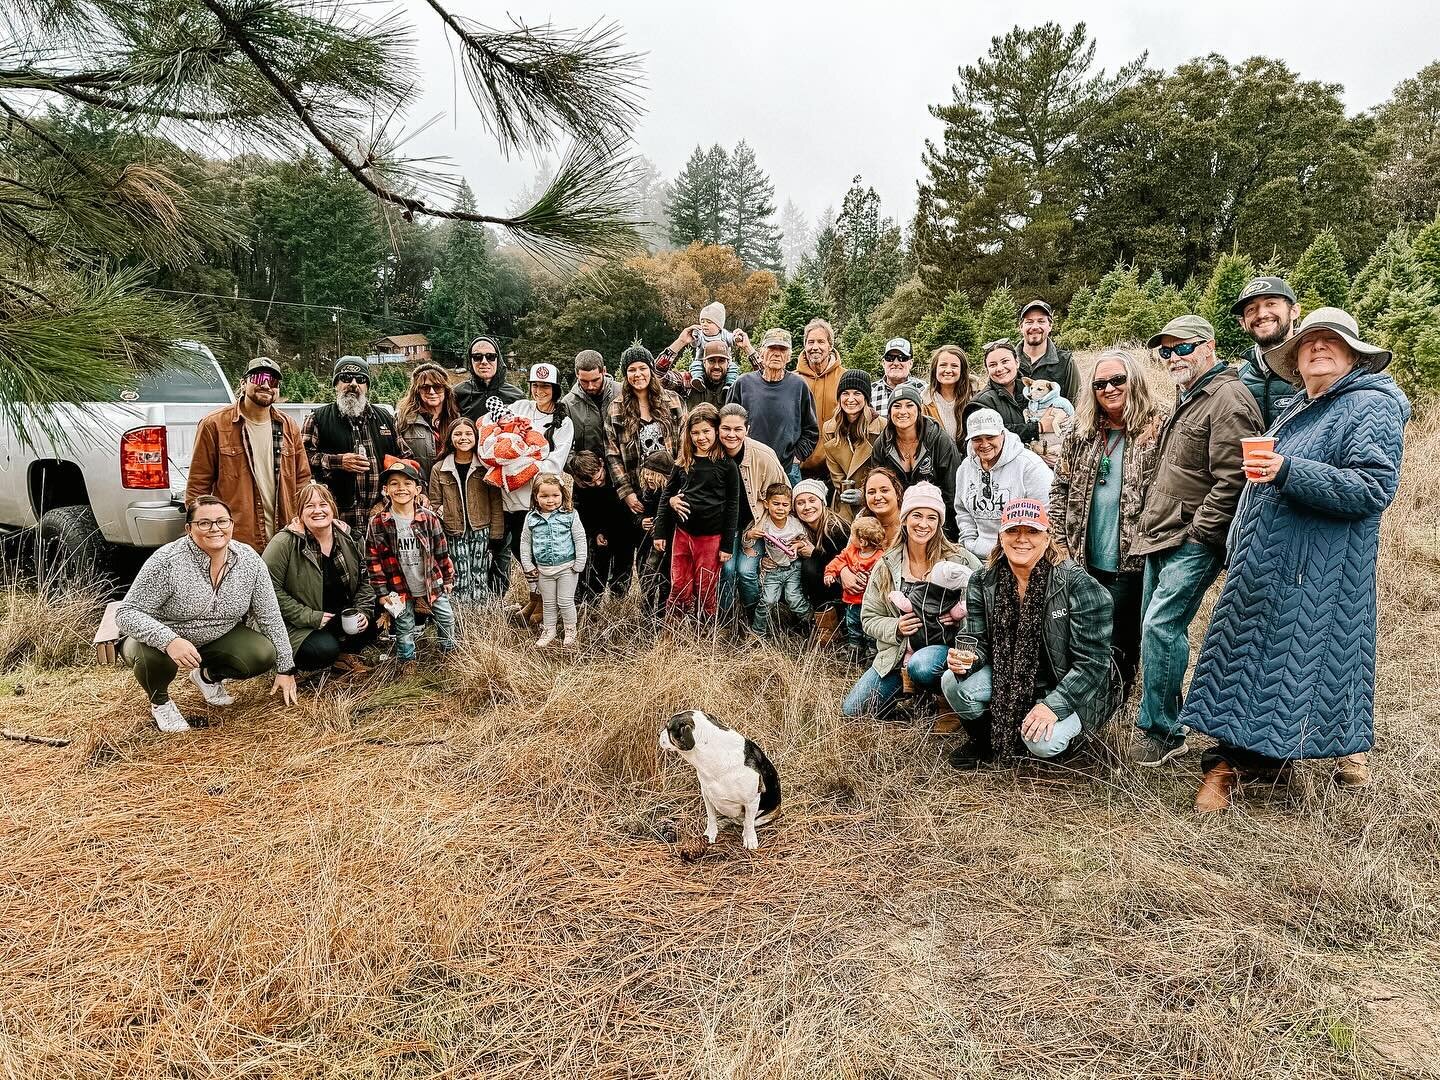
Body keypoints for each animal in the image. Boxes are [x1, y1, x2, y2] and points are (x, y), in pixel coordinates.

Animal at [659, 711, 783, 852]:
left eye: (668, 728)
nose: (658, 734)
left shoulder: (752, 801)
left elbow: (749, 822)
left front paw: (750, 839)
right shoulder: (707, 794)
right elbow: (711, 817)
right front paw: (710, 833)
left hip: (771, 813)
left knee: (747, 822)